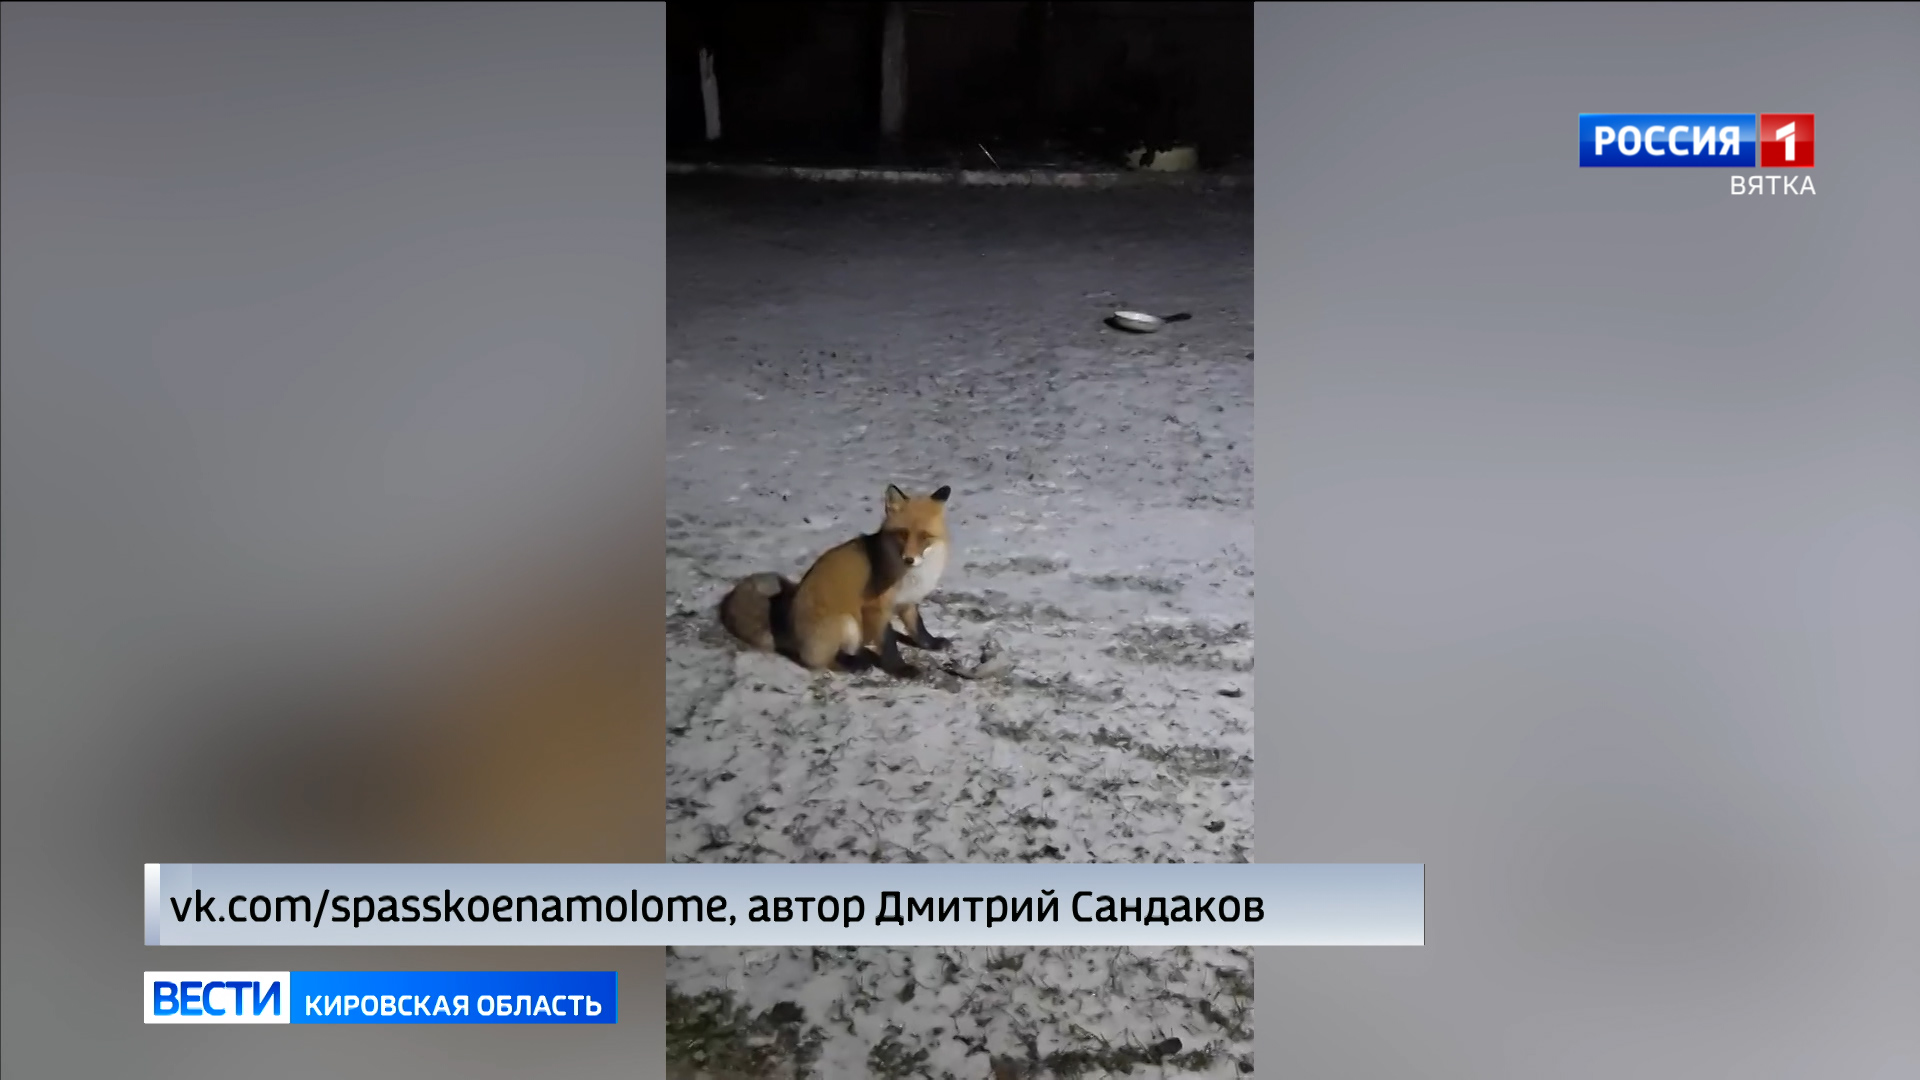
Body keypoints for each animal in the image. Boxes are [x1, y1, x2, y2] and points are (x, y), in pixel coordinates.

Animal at [718, 484, 953, 677]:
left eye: (925, 537)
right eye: (903, 534)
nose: (909, 559)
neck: (909, 576)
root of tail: (790, 630)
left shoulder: (907, 603)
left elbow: (918, 628)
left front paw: (932, 643)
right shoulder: (876, 608)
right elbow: (889, 644)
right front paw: (900, 669)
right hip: (846, 622)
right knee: (823, 660)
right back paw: (856, 664)